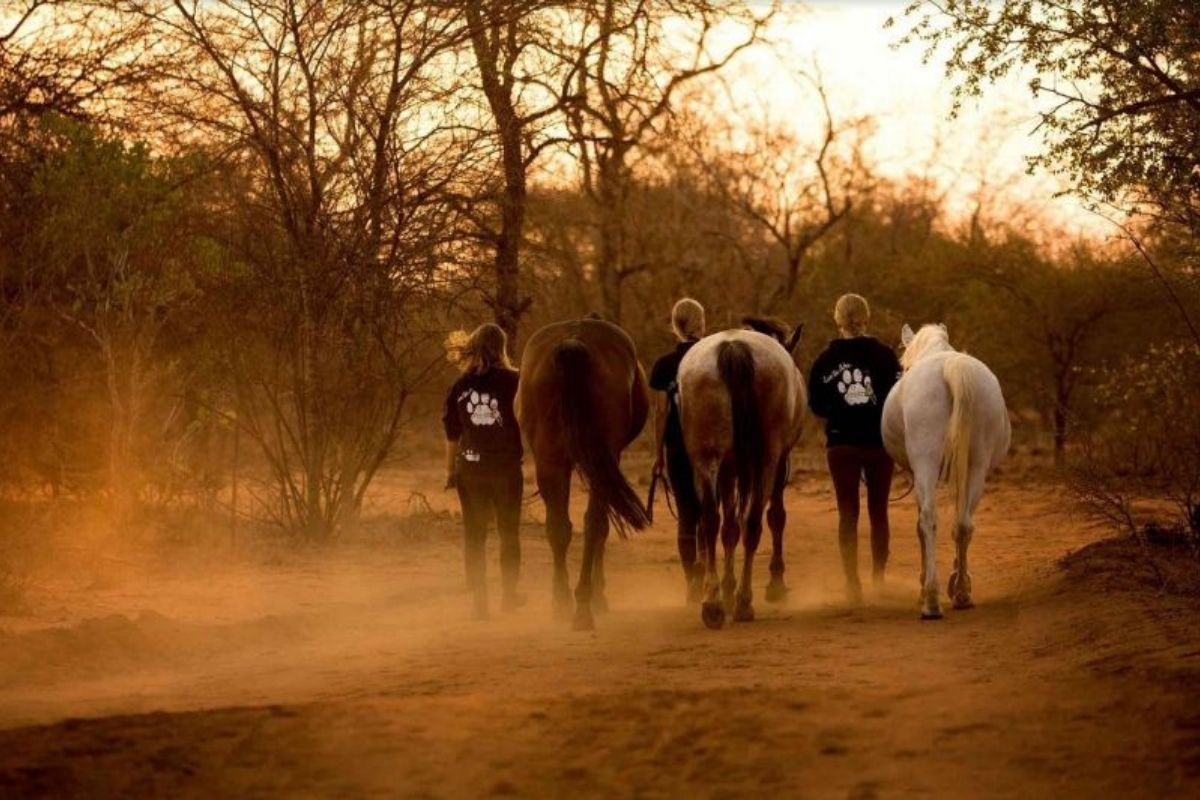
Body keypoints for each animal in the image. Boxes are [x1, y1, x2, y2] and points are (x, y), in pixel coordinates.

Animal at [516, 318, 651, 631]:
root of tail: (573, 342)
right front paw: (600, 595)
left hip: (551, 459)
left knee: (561, 527)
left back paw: (566, 603)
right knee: (594, 525)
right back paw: (584, 603)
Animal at [677, 328, 806, 629]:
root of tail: (734, 346)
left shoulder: (727, 470)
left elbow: (729, 528)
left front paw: (726, 587)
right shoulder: (779, 463)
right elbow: (775, 517)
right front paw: (775, 582)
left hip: (707, 456)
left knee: (711, 520)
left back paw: (713, 604)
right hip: (766, 460)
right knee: (753, 521)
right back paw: (744, 602)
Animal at [881, 324, 1011, 620]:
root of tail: (952, 367)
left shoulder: (918, 473)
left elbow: (921, 526)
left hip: (926, 463)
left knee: (929, 520)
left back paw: (930, 599)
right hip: (977, 465)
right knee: (963, 523)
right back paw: (962, 592)